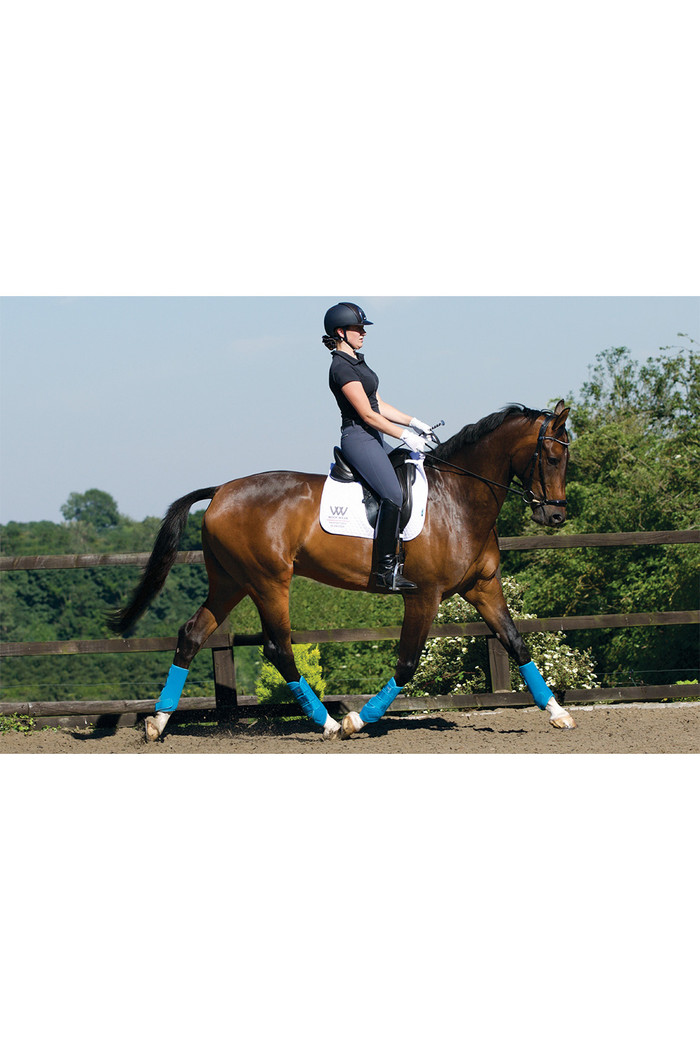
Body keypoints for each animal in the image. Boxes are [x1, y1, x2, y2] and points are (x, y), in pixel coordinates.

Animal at [109, 401, 576, 741]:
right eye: (553, 456)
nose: (555, 517)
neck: (458, 500)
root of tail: (221, 490)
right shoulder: (423, 595)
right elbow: (407, 662)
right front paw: (358, 720)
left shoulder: (483, 586)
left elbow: (516, 642)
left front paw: (558, 713)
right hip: (268, 582)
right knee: (279, 649)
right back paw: (329, 724)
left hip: (231, 583)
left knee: (192, 634)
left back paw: (157, 724)